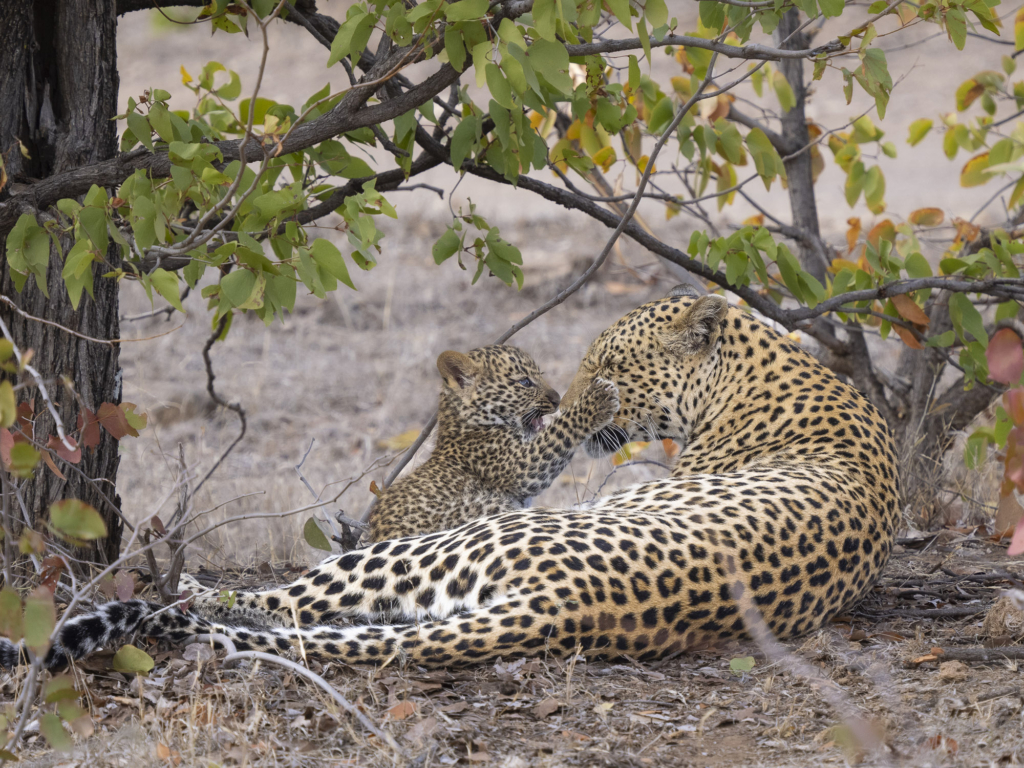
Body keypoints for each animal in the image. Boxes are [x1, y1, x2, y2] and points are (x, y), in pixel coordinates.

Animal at [2, 290, 897, 671]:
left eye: (611, 360)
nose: (569, 390)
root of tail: (573, 607)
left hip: (439, 548)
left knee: (281, 601)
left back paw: (179, 594)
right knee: (301, 610)